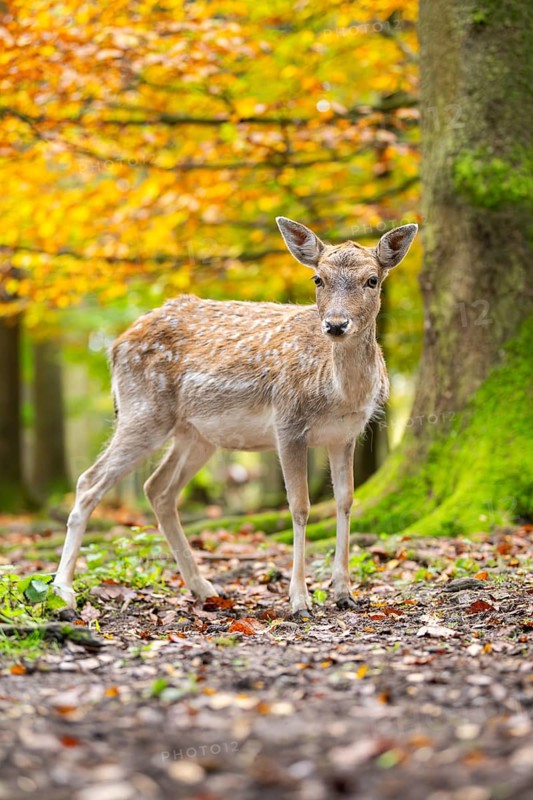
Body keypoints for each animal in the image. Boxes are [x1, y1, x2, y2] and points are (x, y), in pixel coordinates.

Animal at [52, 218, 417, 617]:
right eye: (317, 279)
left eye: (373, 280)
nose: (336, 325)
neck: (339, 393)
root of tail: (116, 346)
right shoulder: (287, 422)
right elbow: (300, 506)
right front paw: (299, 600)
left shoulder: (345, 435)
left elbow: (346, 501)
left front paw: (343, 592)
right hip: (143, 410)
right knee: (90, 481)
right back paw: (63, 592)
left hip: (196, 434)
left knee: (157, 488)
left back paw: (203, 587)